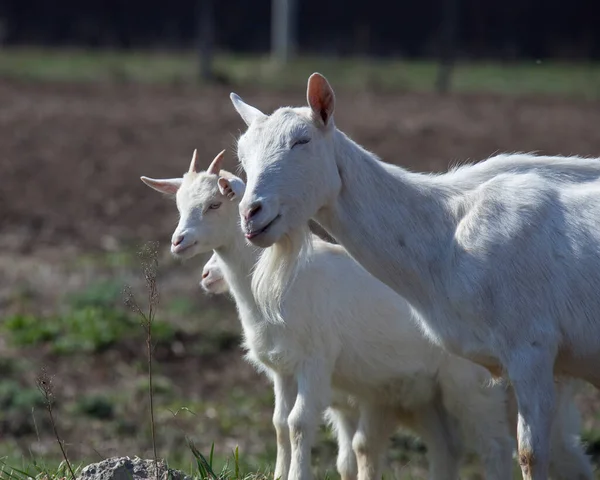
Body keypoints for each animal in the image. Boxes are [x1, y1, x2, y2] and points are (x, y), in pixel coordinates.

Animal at [232, 72, 600, 480]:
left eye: (302, 141)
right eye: (243, 155)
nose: (251, 213)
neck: (448, 231)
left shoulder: (531, 345)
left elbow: (530, 453)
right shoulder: (553, 366)